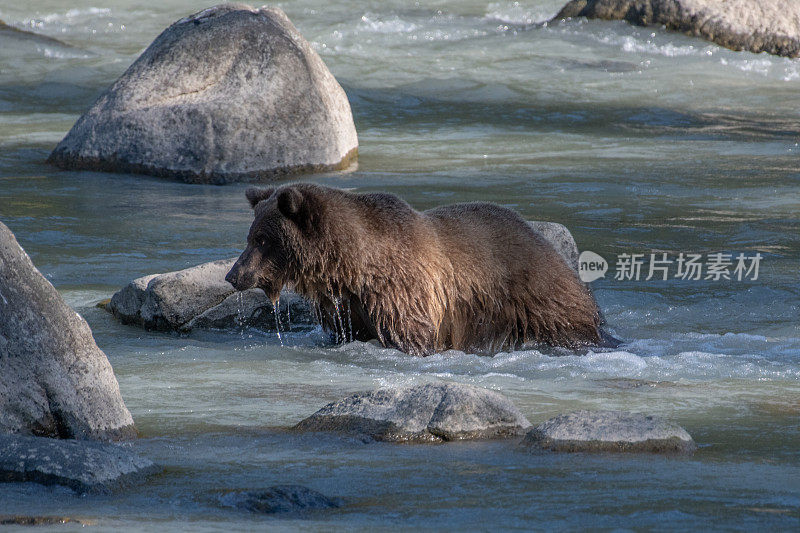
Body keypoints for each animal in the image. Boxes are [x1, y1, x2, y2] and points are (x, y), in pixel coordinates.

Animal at [225, 182, 612, 354]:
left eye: (263, 240)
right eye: (251, 236)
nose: (233, 275)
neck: (351, 268)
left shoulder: (402, 293)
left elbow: (411, 337)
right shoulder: (350, 306)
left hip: (531, 294)